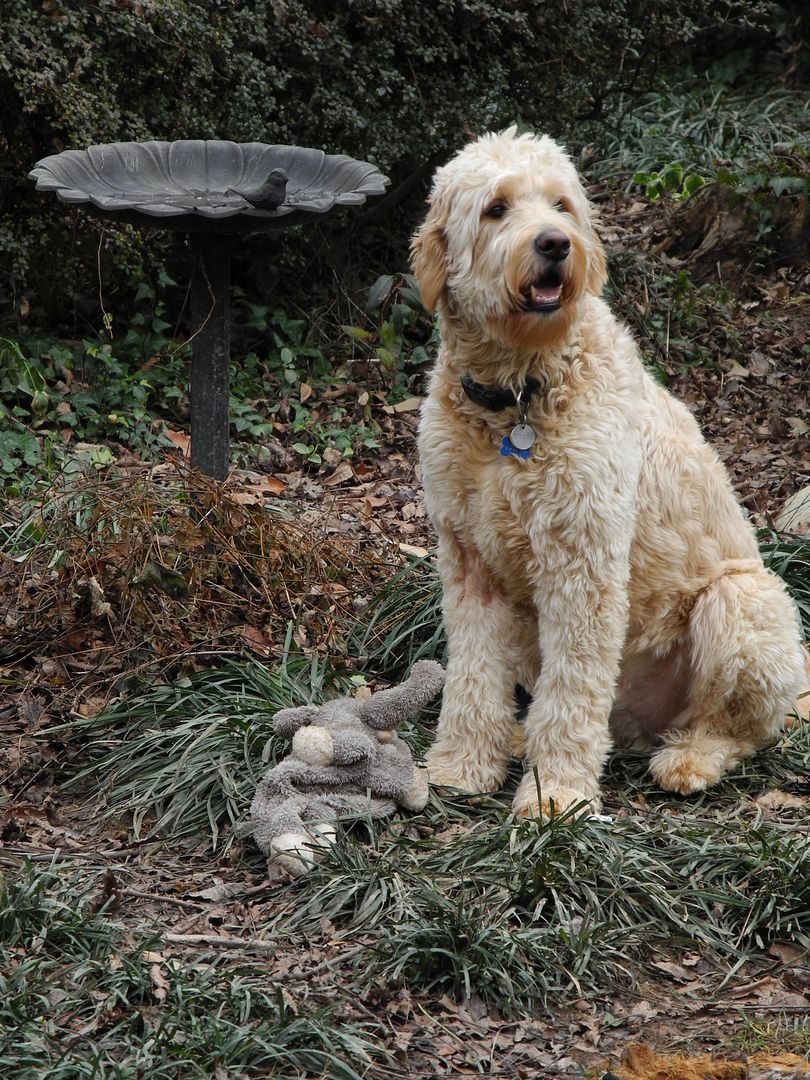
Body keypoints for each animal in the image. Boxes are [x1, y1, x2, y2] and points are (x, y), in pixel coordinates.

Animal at [414, 126, 807, 812]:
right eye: (496, 209)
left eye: (561, 204)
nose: (555, 243)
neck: (516, 396)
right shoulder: (470, 563)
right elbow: (471, 675)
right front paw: (462, 764)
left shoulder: (582, 559)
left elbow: (572, 691)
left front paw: (554, 797)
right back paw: (520, 739)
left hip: (741, 600)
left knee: (740, 731)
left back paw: (690, 758)